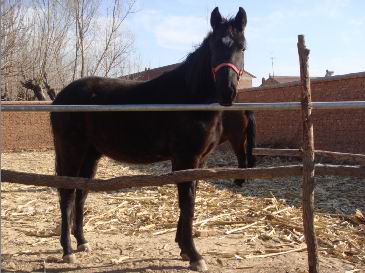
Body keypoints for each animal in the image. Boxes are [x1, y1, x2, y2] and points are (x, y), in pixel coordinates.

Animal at [50, 7, 247, 270]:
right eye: (216, 46)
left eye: (242, 47)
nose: (228, 92)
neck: (189, 97)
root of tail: (60, 98)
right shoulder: (185, 158)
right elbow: (187, 203)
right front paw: (194, 255)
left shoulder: (199, 161)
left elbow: (190, 202)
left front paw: (183, 249)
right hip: (71, 151)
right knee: (67, 194)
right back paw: (68, 251)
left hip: (90, 156)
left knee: (81, 193)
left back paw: (82, 242)